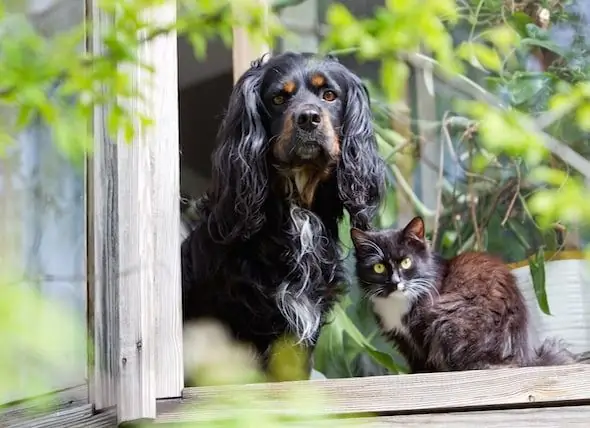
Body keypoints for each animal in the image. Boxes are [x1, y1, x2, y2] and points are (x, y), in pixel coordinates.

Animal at [352, 216, 580, 372]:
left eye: (406, 262)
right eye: (379, 267)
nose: (395, 282)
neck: (397, 304)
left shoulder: (420, 330)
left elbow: (425, 361)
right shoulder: (402, 339)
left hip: (445, 318)